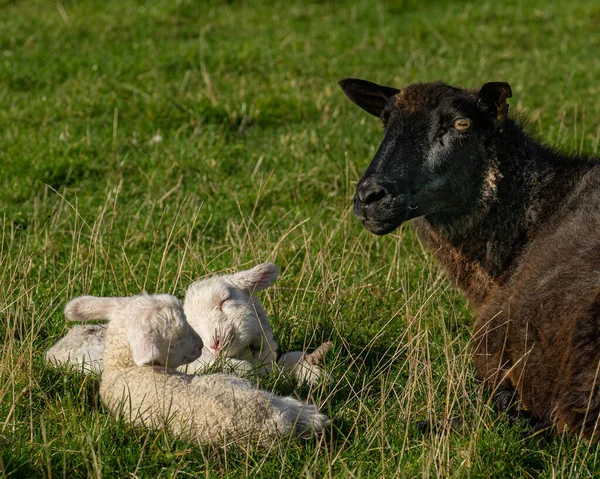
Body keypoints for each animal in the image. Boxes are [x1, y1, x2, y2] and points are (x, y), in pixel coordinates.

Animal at [65, 292, 328, 446]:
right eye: (176, 337)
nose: (202, 345)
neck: (121, 368)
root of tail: (270, 422)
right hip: (243, 387)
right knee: (292, 406)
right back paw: (316, 416)